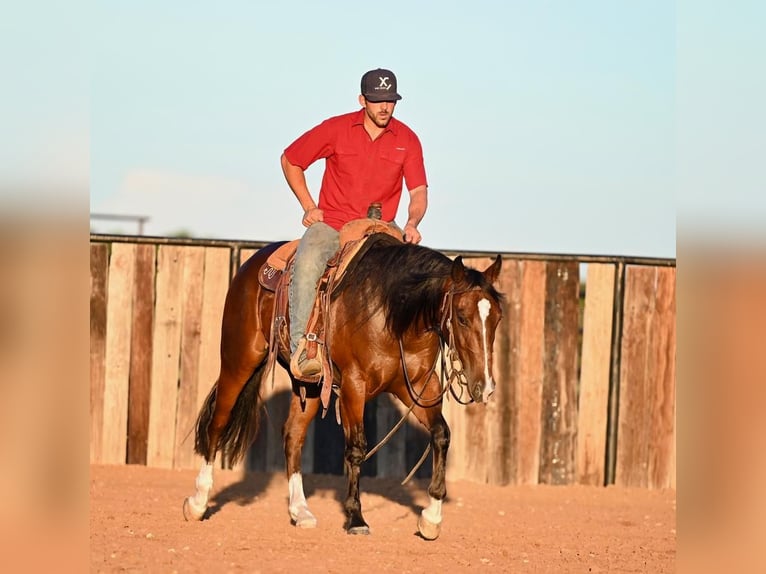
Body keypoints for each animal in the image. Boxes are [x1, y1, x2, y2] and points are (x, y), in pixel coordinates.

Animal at [184, 230, 508, 540]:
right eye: (462, 318)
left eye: (497, 318)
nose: (485, 386)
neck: (393, 314)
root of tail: (252, 263)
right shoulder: (355, 385)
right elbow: (356, 448)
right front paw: (356, 518)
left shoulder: (417, 387)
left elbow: (441, 435)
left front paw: (431, 518)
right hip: (239, 359)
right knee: (218, 422)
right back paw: (198, 502)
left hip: (312, 384)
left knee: (293, 435)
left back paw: (300, 511)